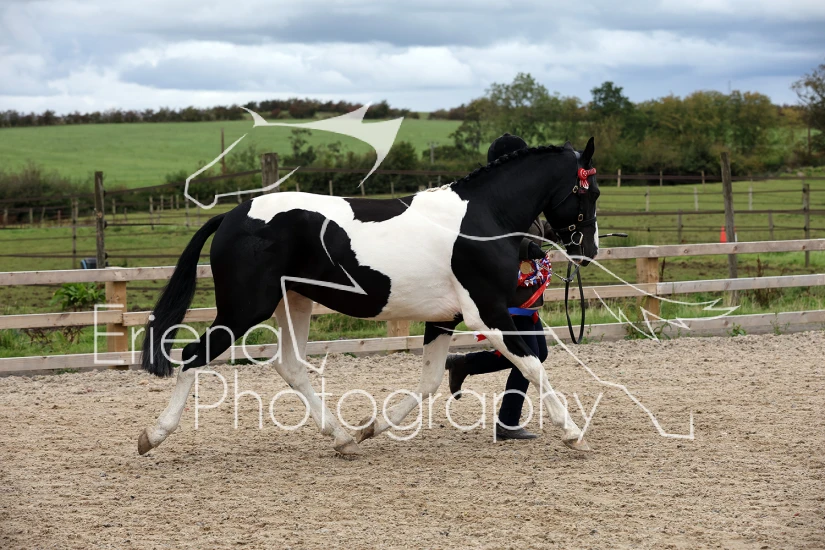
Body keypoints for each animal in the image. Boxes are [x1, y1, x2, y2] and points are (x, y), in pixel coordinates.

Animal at [137, 138, 601, 456]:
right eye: (589, 193)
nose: (590, 250)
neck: (483, 218)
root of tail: (232, 215)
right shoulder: (485, 312)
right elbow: (533, 365)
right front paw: (574, 433)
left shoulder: (444, 317)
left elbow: (430, 381)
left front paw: (369, 428)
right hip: (244, 309)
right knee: (193, 355)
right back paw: (152, 436)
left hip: (294, 303)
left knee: (290, 367)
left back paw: (342, 438)